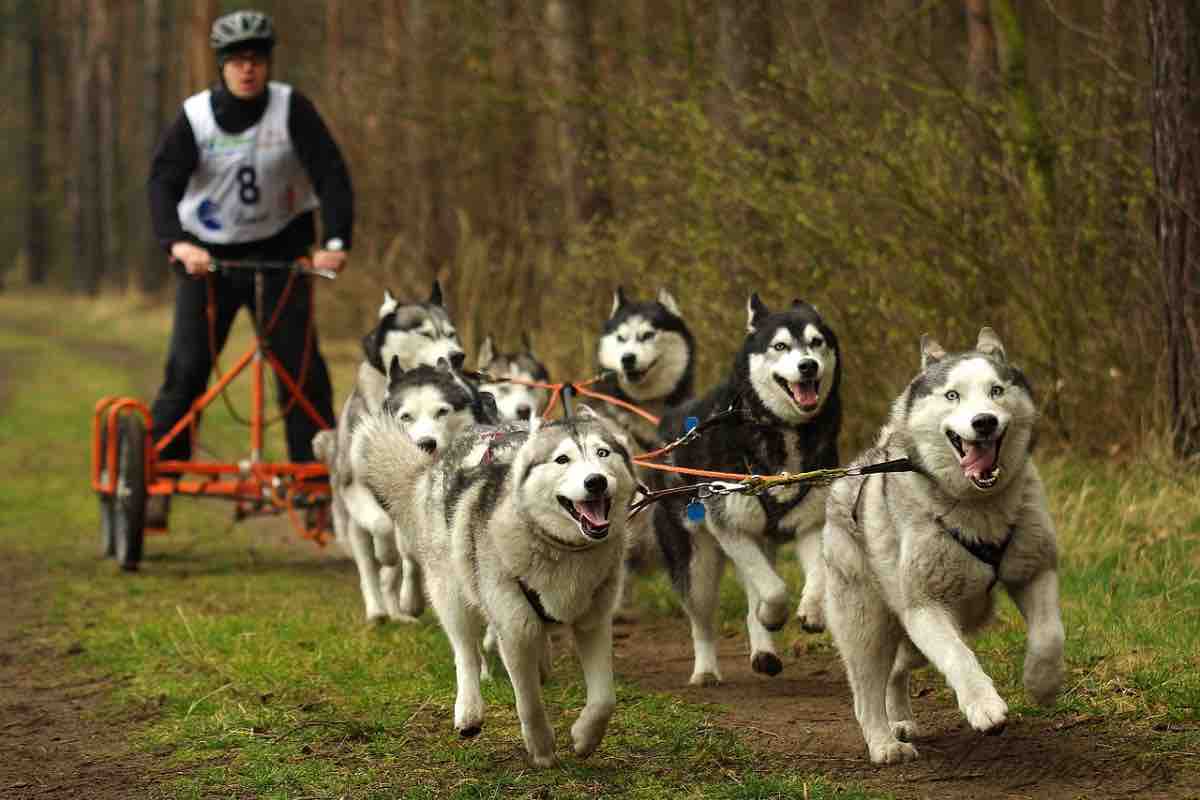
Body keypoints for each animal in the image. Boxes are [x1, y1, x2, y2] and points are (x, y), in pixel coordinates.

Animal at [820, 331, 1065, 762]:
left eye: (996, 390)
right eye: (952, 395)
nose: (983, 421)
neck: (978, 508)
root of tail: (856, 468)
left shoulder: (1035, 569)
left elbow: (1050, 635)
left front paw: (1042, 681)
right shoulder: (925, 607)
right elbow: (958, 656)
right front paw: (983, 705)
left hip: (926, 631)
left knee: (897, 670)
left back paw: (899, 718)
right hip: (867, 622)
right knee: (866, 689)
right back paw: (884, 742)